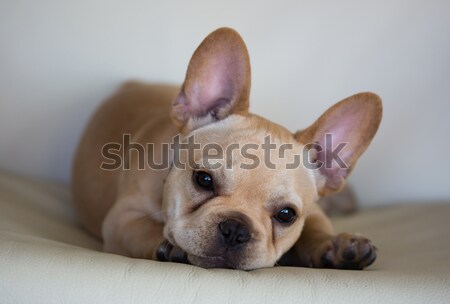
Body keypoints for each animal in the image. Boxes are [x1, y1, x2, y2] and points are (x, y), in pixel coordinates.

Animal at [72, 27, 382, 270]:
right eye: (203, 179)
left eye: (287, 215)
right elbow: (147, 229)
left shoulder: (312, 212)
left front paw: (336, 245)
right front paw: (171, 247)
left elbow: (317, 227)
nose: (235, 229)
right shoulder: (120, 221)